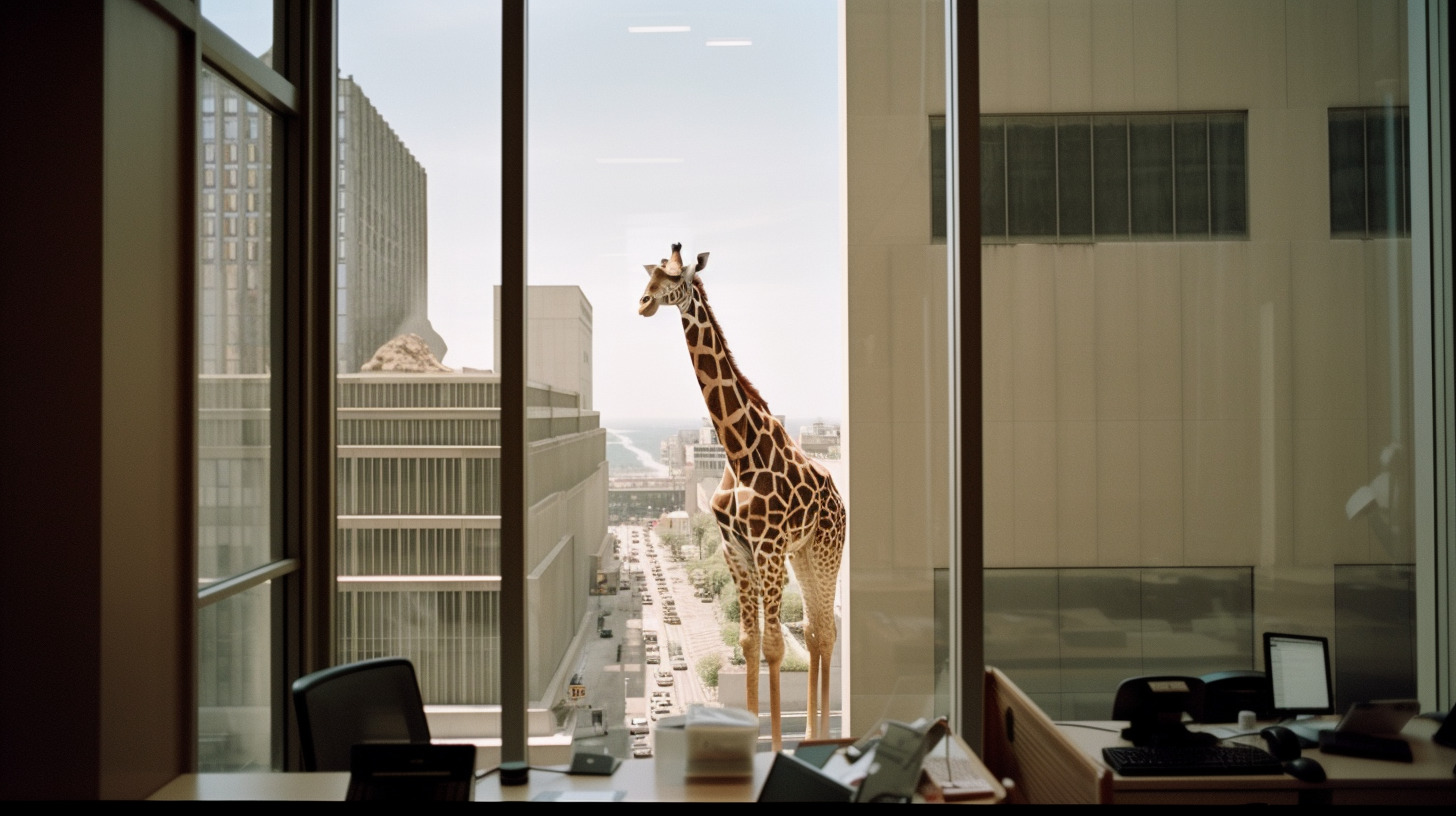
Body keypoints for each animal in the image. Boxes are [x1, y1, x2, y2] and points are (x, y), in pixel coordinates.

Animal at [634, 238, 850, 751]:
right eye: (653, 272)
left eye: (677, 278)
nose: (644, 303)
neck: (738, 452)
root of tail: (840, 503)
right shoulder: (737, 549)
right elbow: (750, 643)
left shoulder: (767, 549)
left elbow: (773, 645)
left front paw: (772, 746)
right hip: (804, 554)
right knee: (814, 629)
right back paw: (812, 735)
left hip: (827, 550)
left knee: (826, 630)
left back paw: (816, 739)